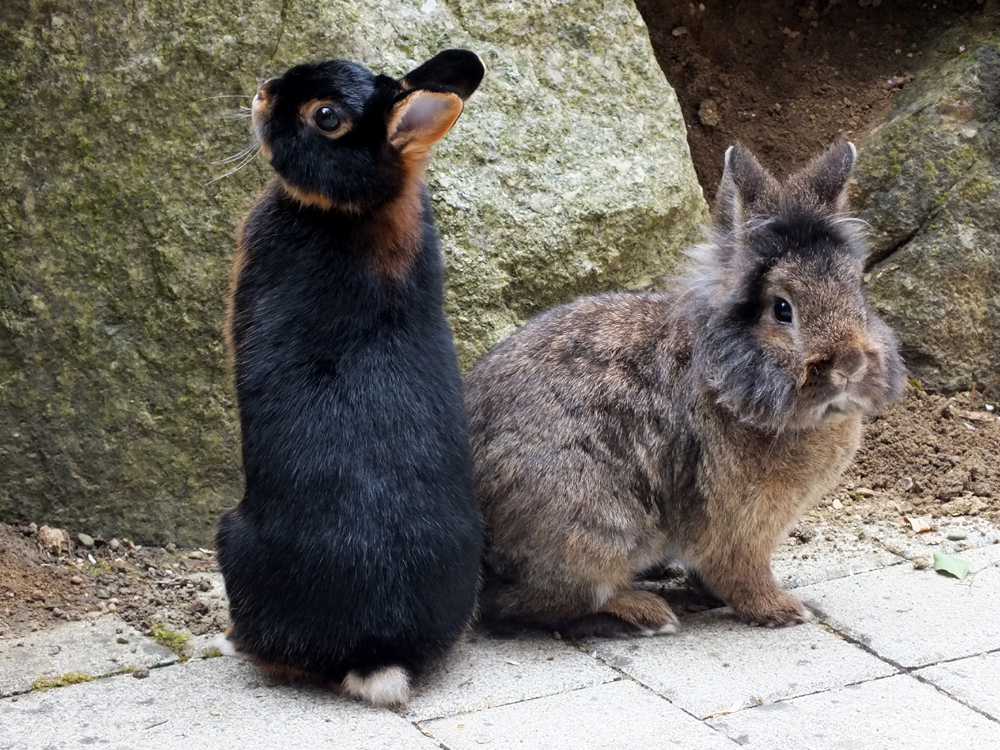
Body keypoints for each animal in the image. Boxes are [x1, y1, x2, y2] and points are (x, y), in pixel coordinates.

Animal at [466, 141, 908, 636]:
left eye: (859, 294)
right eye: (782, 309)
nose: (850, 363)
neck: (726, 381)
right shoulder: (737, 528)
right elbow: (742, 574)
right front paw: (782, 610)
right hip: (598, 530)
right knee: (529, 603)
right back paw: (647, 613)